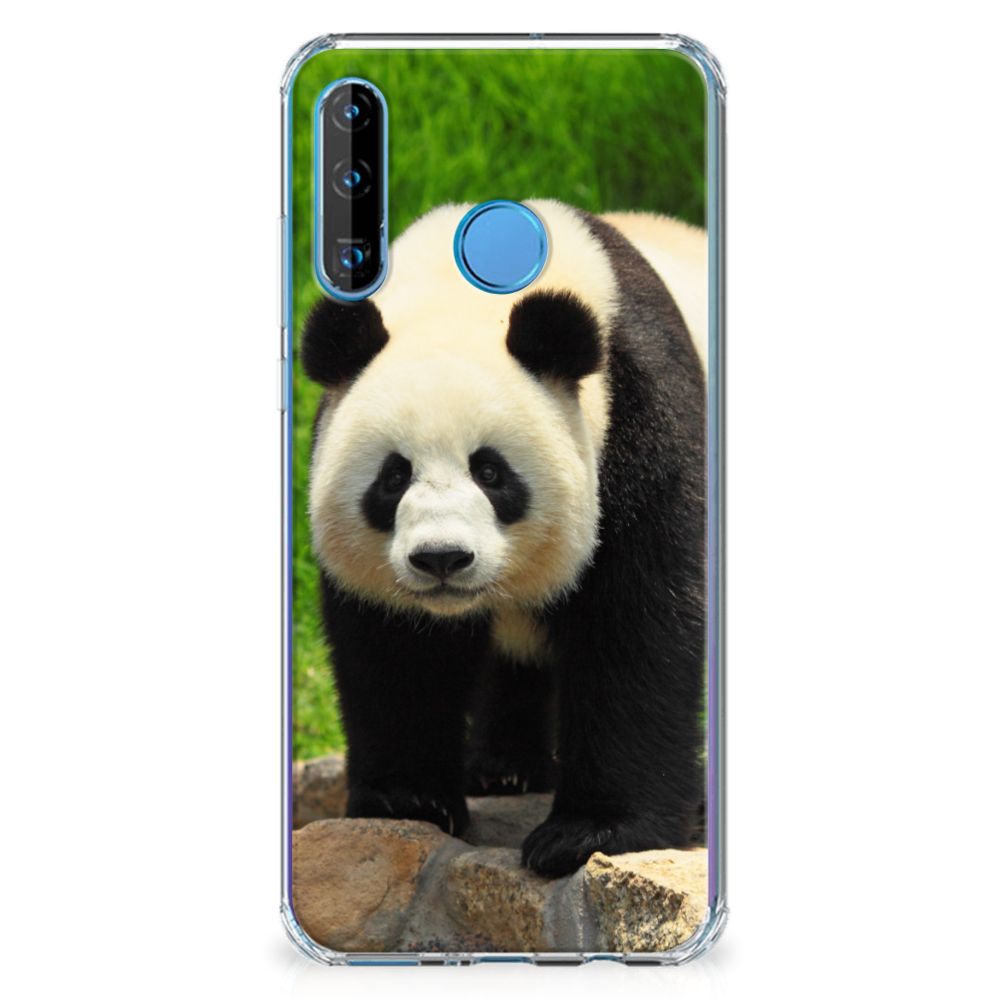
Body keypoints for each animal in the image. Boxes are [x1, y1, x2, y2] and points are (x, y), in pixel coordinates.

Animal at [302, 199, 707, 877]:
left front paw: (589, 833)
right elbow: (395, 649)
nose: (442, 558)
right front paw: (408, 800)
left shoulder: (641, 419)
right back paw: (504, 769)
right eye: (393, 476)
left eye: (490, 472)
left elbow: (638, 623)